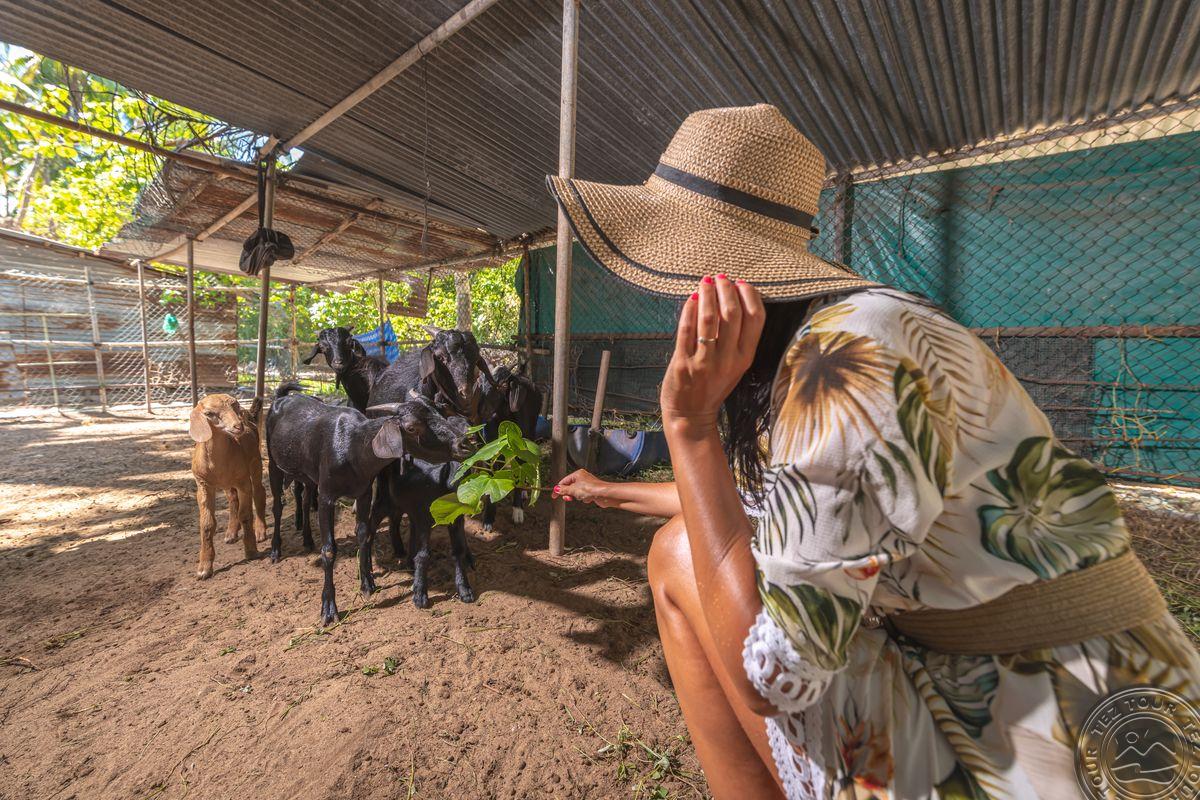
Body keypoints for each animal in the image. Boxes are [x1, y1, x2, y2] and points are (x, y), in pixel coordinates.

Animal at [189, 394, 267, 579]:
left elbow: (245, 515)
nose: (238, 426)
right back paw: (231, 533)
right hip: (227, 484)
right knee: (232, 500)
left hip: (255, 462)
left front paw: (251, 551)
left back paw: (260, 531)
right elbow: (207, 524)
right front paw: (204, 568)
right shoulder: (203, 485)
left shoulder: (243, 481)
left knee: (259, 493)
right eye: (209, 413)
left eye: (236, 406)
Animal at [266, 383, 470, 626]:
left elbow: (363, 533)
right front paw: (328, 608)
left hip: (306, 476)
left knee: (306, 501)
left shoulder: (363, 492)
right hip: (273, 463)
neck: (352, 447)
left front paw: (367, 584)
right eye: (412, 428)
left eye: (439, 412)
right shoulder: (327, 496)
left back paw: (307, 539)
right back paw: (275, 550)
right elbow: (329, 550)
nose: (462, 444)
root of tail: (281, 398)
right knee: (277, 506)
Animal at [478, 361, 544, 531]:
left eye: (503, 386)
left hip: (531, 432)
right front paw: (488, 519)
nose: (480, 411)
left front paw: (518, 512)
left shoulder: (521, 445)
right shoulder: (490, 449)